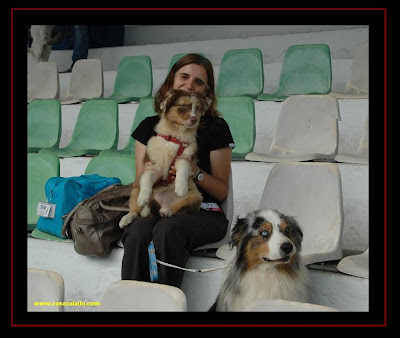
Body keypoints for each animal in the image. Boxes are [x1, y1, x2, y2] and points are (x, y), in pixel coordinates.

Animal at [119, 90, 211, 227]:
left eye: (198, 108)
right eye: (182, 106)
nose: (194, 119)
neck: (174, 136)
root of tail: (162, 203)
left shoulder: (185, 157)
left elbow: (183, 167)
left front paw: (181, 188)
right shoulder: (153, 164)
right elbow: (146, 178)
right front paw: (143, 197)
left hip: (195, 196)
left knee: (179, 208)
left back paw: (166, 210)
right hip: (135, 189)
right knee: (136, 211)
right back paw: (129, 217)